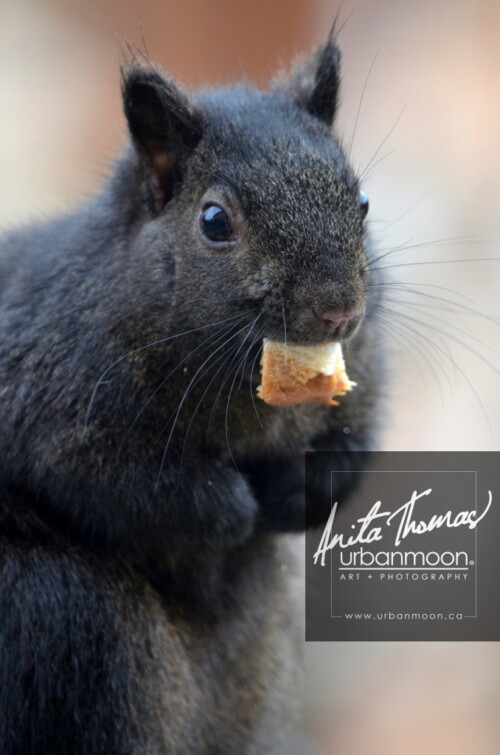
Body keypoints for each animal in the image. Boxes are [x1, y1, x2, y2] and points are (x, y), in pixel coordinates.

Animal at [0, 35, 384, 755]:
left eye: (365, 202)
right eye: (213, 221)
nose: (338, 310)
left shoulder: (366, 368)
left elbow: (355, 441)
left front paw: (295, 492)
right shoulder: (49, 392)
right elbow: (111, 479)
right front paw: (232, 507)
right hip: (75, 625)